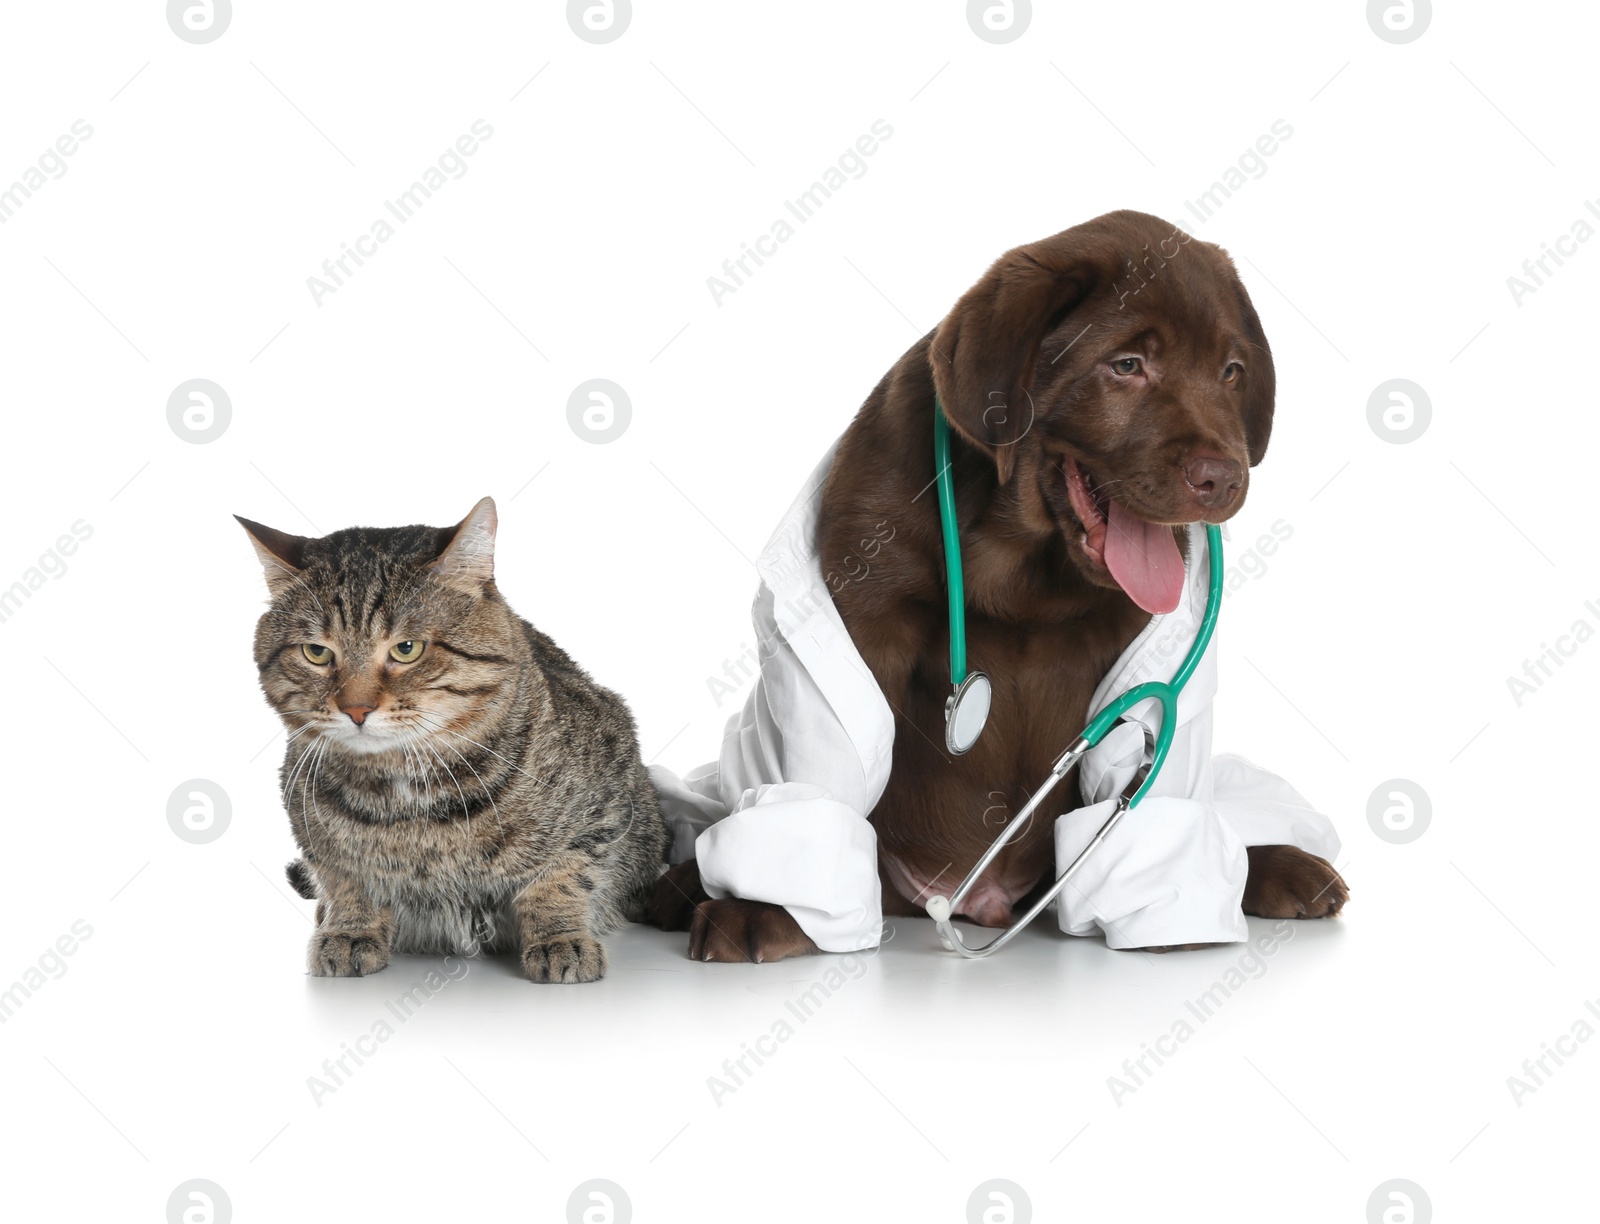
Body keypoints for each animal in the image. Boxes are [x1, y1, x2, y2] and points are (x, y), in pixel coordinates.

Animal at [233, 496, 665, 985]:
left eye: (406, 649)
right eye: (317, 653)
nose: (356, 709)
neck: (405, 796)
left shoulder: (605, 805)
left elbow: (563, 875)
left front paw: (560, 936)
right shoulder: (306, 816)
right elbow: (344, 878)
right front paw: (350, 928)